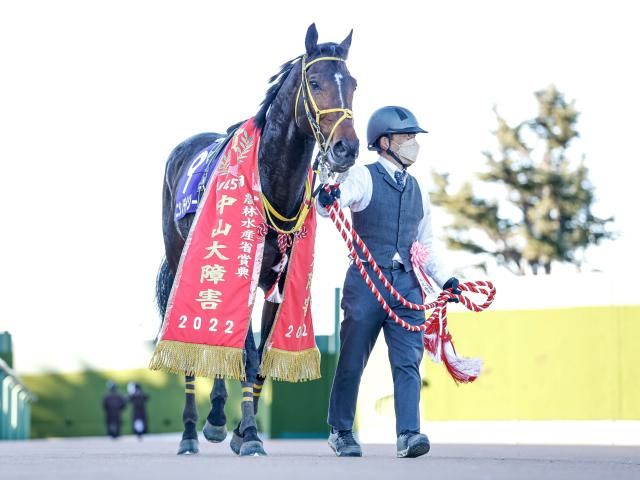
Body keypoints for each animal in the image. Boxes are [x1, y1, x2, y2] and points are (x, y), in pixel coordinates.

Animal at [153, 23, 358, 458]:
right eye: (315, 82)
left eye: (352, 84)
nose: (346, 148)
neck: (271, 183)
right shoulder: (239, 271)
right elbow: (245, 354)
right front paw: (248, 434)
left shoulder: (279, 283)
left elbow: (260, 356)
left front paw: (237, 430)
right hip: (184, 263)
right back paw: (189, 433)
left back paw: (215, 420)